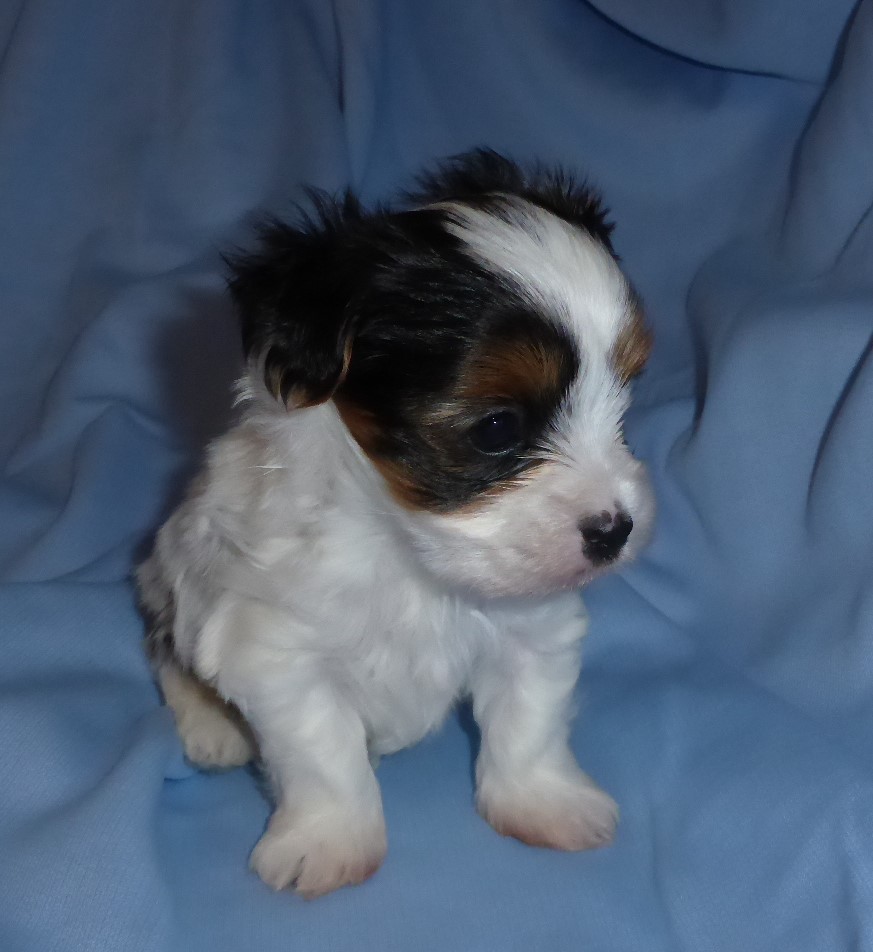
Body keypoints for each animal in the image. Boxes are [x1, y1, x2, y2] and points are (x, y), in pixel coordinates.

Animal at [137, 148, 654, 898]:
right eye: (497, 429)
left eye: (621, 410)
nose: (614, 530)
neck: (408, 553)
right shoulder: (281, 653)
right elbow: (323, 754)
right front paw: (330, 843)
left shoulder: (533, 629)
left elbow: (530, 721)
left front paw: (542, 802)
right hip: (169, 575)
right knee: (168, 651)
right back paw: (211, 726)